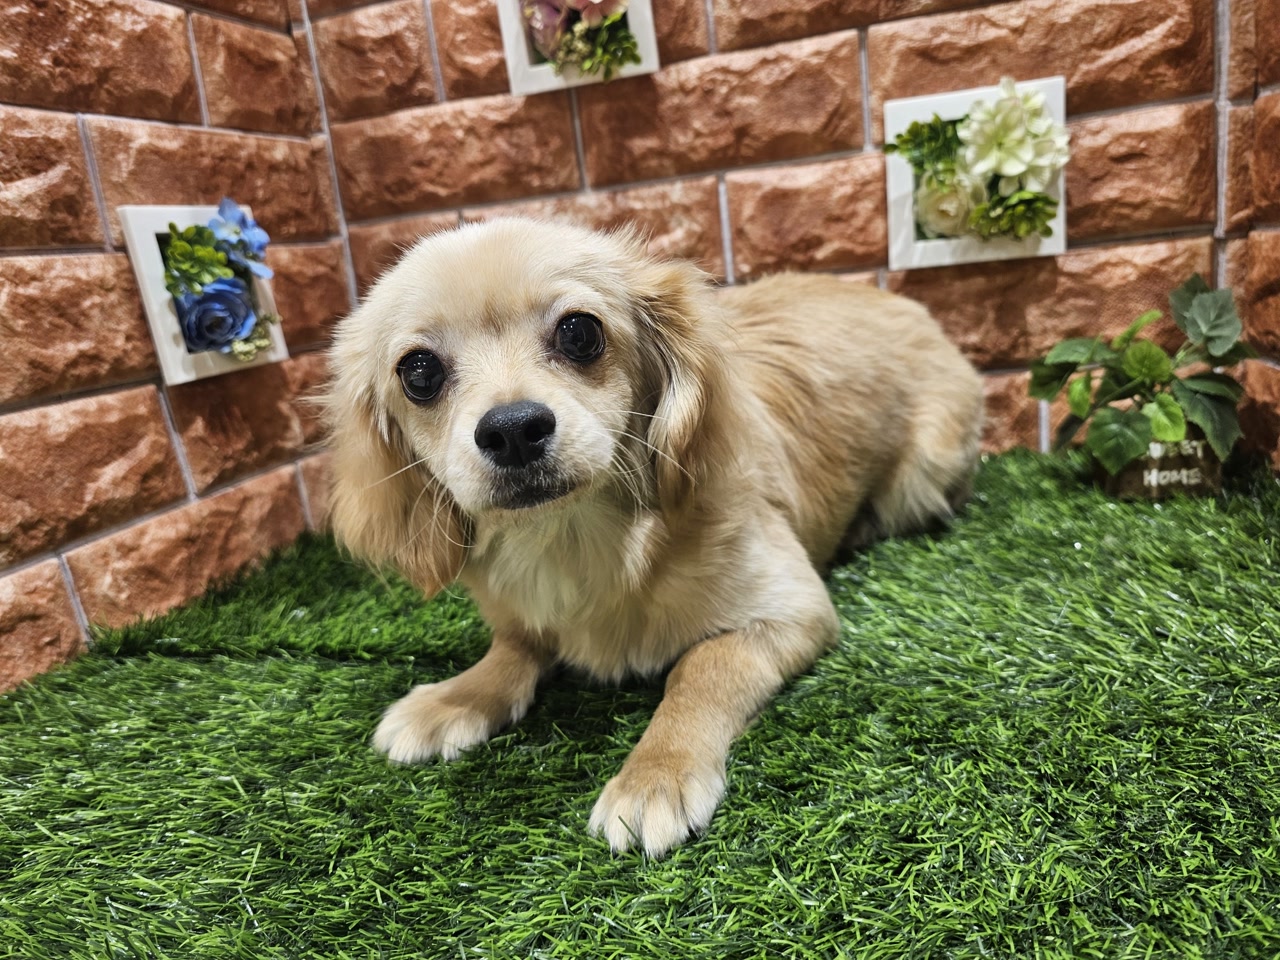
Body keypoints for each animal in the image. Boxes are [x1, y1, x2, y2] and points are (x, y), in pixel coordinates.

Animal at [324, 218, 984, 857]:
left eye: (579, 333)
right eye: (419, 372)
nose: (512, 429)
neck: (574, 540)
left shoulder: (790, 610)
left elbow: (698, 670)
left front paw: (655, 776)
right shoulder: (523, 616)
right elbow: (511, 650)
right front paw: (454, 699)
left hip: (924, 473)